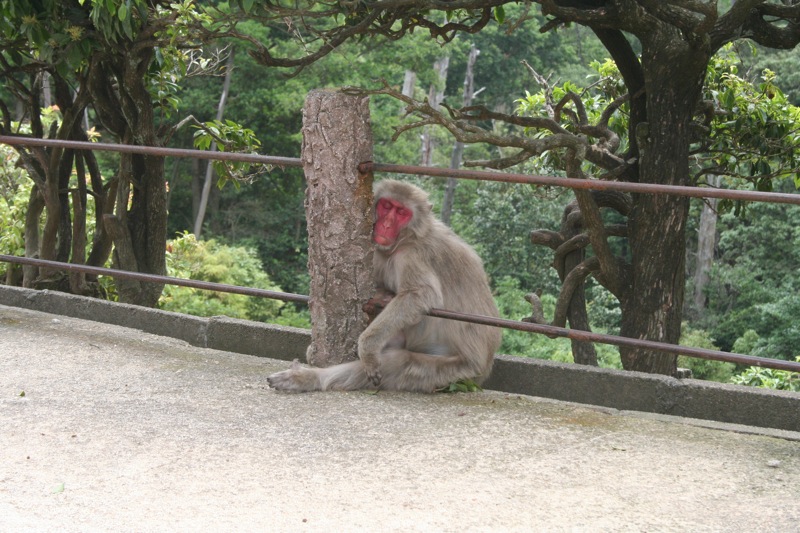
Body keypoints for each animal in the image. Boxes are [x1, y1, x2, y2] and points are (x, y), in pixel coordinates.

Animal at [268, 179, 500, 390]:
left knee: (400, 363)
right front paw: (381, 296)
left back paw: (310, 378)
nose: (386, 225)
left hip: (457, 370)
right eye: (387, 206)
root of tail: (485, 367)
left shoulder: (411, 255)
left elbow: (420, 295)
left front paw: (368, 348)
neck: (406, 238)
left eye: (402, 212)